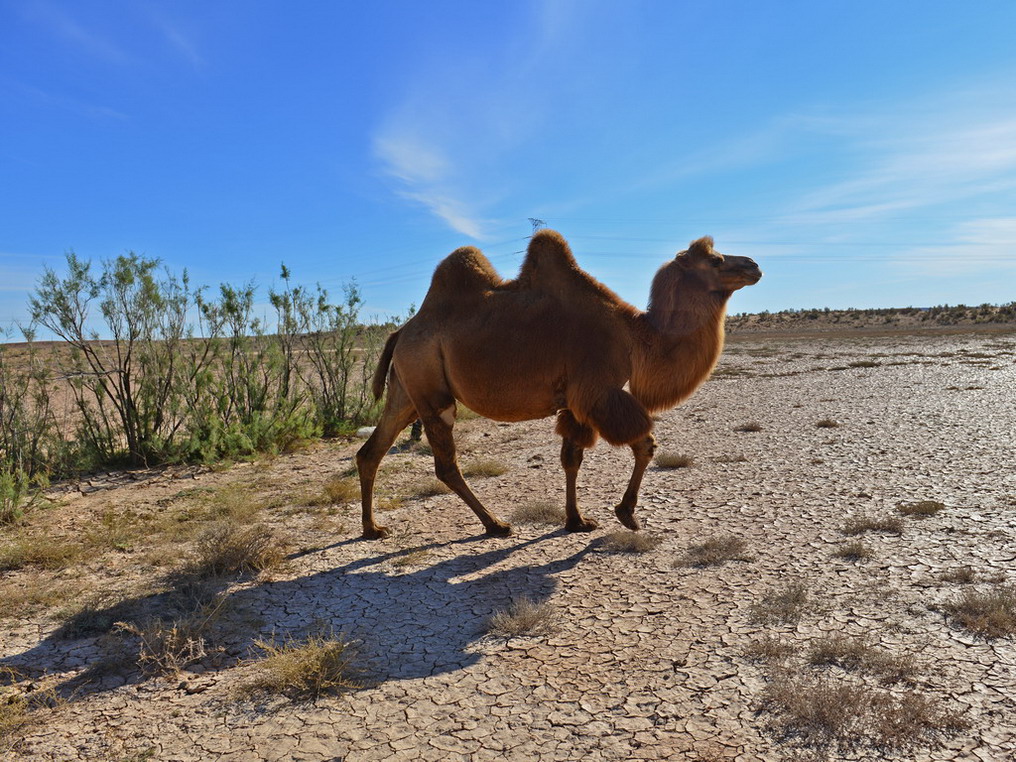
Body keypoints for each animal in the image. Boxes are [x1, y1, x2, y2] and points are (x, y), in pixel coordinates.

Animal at [357, 229, 764, 540]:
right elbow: (645, 445)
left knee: (372, 450)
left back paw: (373, 529)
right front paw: (626, 514)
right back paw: (496, 524)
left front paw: (576, 520)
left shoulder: (575, 401)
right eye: (715, 260)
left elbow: (571, 458)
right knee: (445, 465)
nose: (754, 265)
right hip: (430, 387)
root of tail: (401, 332)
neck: (635, 337)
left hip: (406, 390)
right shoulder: (599, 391)